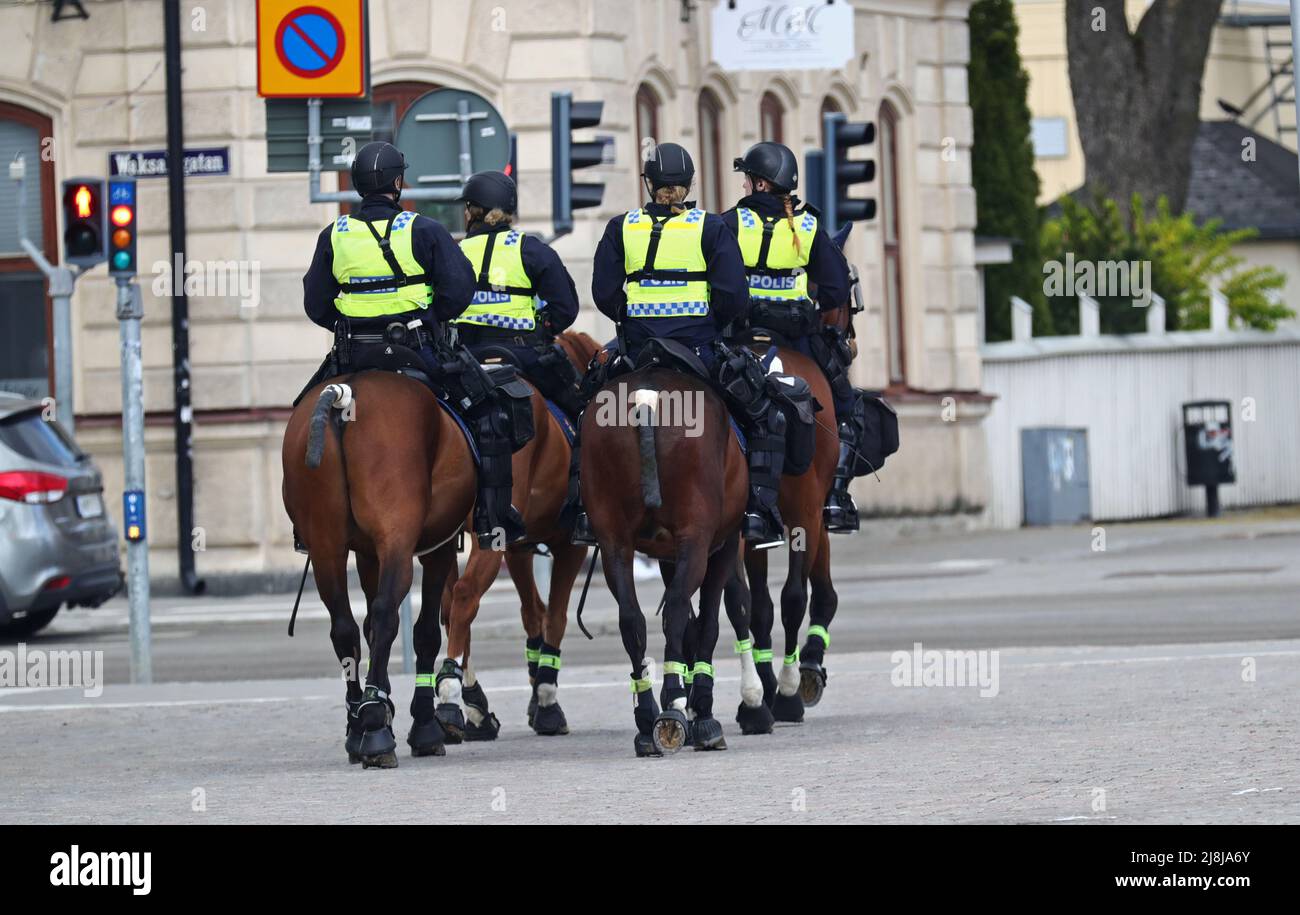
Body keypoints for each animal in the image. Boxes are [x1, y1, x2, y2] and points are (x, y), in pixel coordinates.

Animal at [282, 369, 475, 764]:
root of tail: (344, 392)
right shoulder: (439, 547)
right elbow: (425, 632)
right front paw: (423, 725)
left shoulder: (367, 554)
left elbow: (368, 625)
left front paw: (379, 711)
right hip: (397, 542)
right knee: (388, 614)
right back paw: (375, 730)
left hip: (326, 547)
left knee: (344, 628)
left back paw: (360, 724)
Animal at [434, 332, 600, 738]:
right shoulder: (568, 546)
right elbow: (555, 615)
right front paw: (546, 698)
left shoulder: (518, 547)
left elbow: (533, 612)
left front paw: (536, 689)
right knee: (464, 598)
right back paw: (455, 696)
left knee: (450, 607)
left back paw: (470, 701)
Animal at [585, 366, 748, 759]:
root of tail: (647, 399)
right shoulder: (721, 545)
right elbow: (705, 625)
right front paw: (701, 712)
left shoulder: (667, 556)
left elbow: (688, 626)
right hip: (697, 538)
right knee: (674, 608)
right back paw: (673, 707)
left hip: (614, 543)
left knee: (631, 618)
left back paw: (647, 720)